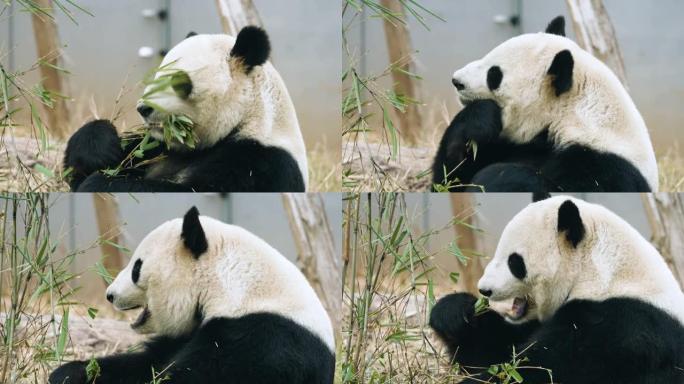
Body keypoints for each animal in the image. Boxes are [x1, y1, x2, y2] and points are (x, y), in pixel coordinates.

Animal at [46, 207, 336, 384]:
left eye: (137, 267)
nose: (110, 295)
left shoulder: (264, 338)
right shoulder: (187, 332)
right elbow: (147, 363)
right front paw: (70, 372)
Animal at [64, 25, 308, 192]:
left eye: (180, 82)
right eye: (157, 75)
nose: (143, 108)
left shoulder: (259, 163)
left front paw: (99, 183)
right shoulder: (157, 146)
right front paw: (100, 149)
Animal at [430, 196, 680, 382]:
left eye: (514, 262)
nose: (484, 289)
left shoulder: (622, 327)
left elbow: (545, 369)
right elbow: (495, 349)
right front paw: (455, 313)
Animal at [432, 16, 656, 194]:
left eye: (494, 74)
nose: (457, 81)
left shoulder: (605, 166)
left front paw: (496, 177)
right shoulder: (512, 145)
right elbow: (448, 180)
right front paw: (480, 119)